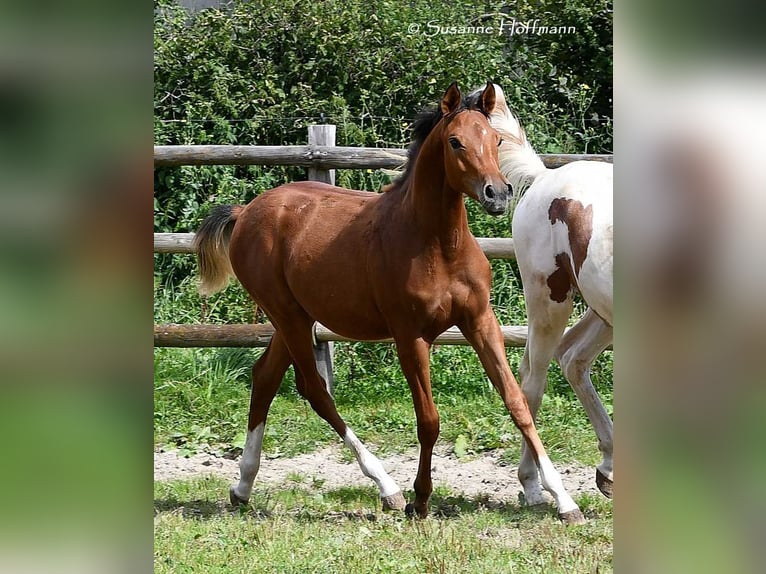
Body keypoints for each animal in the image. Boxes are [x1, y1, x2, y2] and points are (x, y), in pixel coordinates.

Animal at [195, 83, 584, 524]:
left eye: (496, 140)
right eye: (455, 142)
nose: (497, 194)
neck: (438, 244)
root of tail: (246, 211)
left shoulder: (480, 321)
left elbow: (517, 402)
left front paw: (564, 499)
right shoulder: (409, 336)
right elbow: (428, 419)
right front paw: (421, 498)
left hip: (294, 318)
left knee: (265, 378)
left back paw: (243, 486)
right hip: (288, 316)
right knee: (314, 389)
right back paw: (387, 487)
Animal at [464, 84, 616, 504]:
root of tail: (546, 177)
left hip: (602, 313)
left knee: (573, 358)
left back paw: (608, 470)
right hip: (549, 299)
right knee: (533, 378)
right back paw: (534, 486)